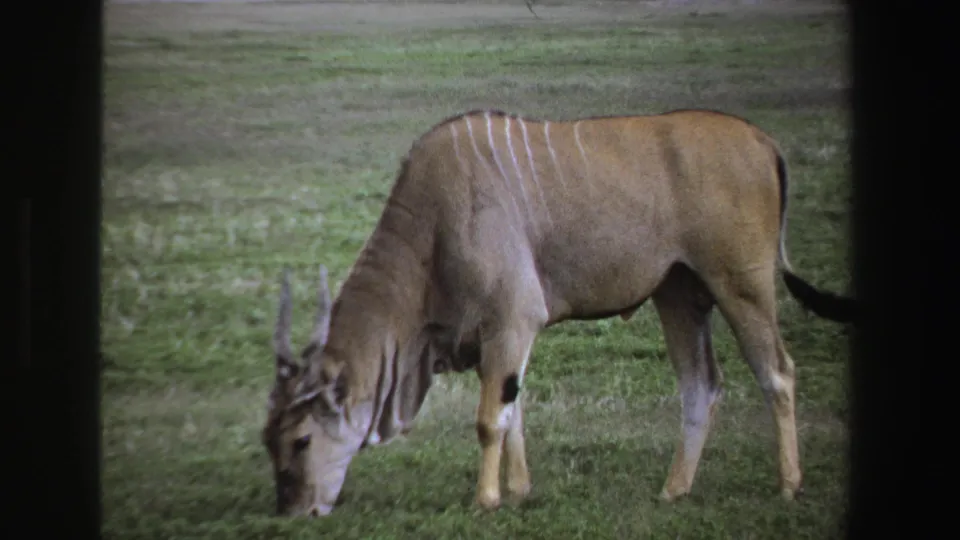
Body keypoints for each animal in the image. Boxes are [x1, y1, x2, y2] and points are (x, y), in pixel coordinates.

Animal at [261, 108, 854, 517]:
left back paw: (789, 485)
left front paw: (486, 499)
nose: (293, 510)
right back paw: (673, 490)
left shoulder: (513, 320)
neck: (432, 226)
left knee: (778, 373)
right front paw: (519, 491)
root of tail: (762, 140)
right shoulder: (497, 339)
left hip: (741, 286)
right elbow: (513, 411)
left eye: (301, 439)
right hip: (679, 295)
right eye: (269, 441)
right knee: (701, 385)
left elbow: (489, 420)